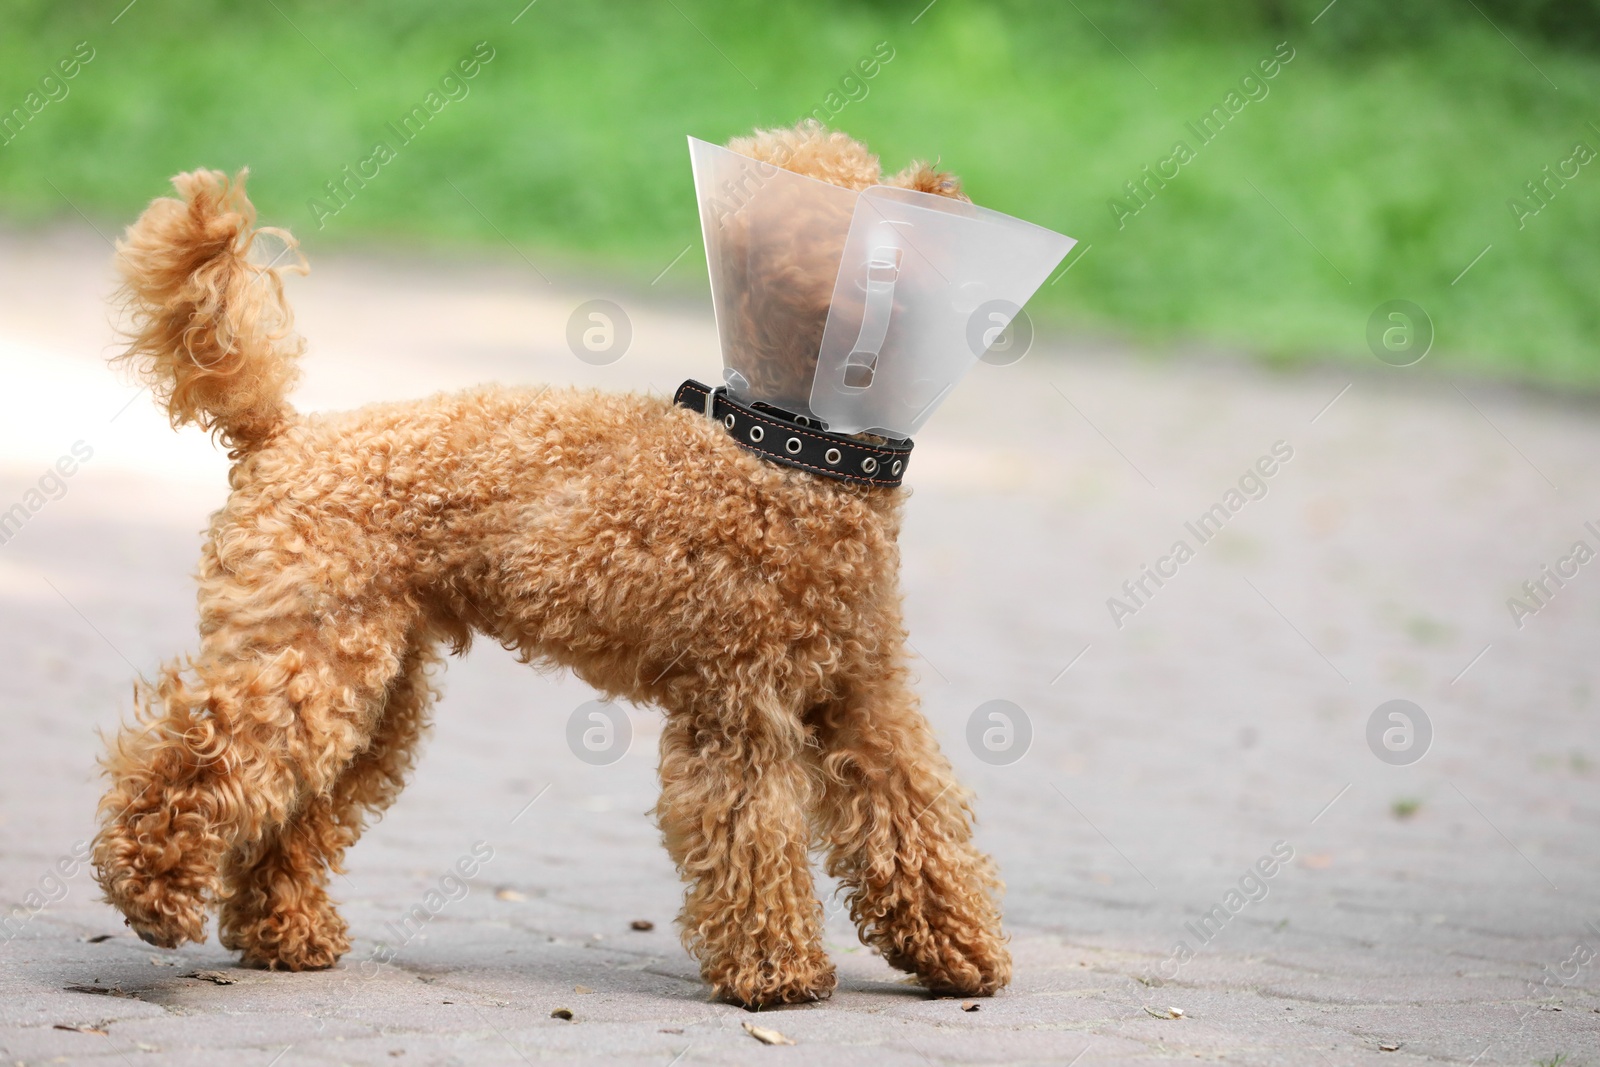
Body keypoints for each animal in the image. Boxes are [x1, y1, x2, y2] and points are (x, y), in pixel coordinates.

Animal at [93, 123, 1004, 1011]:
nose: (948, 197)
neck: (788, 451)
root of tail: (279, 435)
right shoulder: (740, 704)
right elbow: (754, 833)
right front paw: (776, 970)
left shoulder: (863, 693)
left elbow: (912, 815)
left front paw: (958, 947)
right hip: (305, 654)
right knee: (202, 750)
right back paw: (151, 892)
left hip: (376, 688)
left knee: (294, 805)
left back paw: (284, 931)